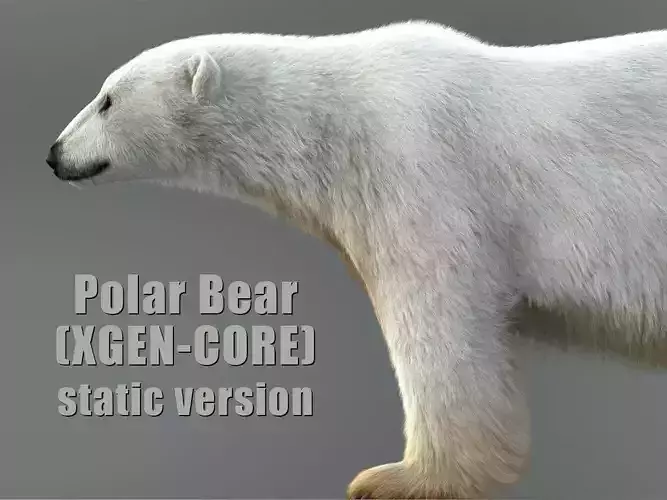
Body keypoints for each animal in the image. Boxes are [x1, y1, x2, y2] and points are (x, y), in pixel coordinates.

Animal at [45, 20, 667, 499]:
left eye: (107, 100)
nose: (54, 153)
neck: (329, 126)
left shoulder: (418, 172)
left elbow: (440, 320)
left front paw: (400, 478)